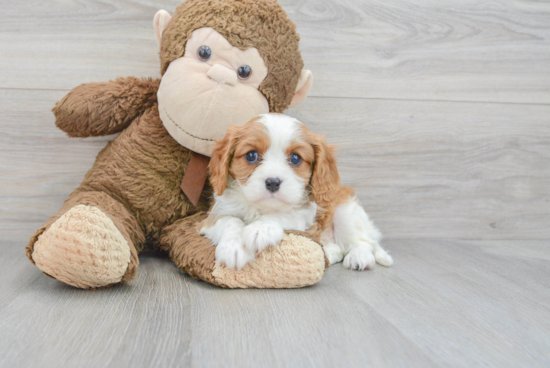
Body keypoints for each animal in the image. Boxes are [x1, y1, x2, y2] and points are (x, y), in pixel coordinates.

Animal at [201, 113, 394, 272]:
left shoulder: (304, 216)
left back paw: (359, 257)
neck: (261, 207)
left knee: (363, 242)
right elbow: (229, 221)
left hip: (346, 211)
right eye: (251, 155)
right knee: (338, 249)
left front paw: (260, 228)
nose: (273, 182)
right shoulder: (214, 215)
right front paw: (234, 247)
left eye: (295, 158)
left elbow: (284, 215)